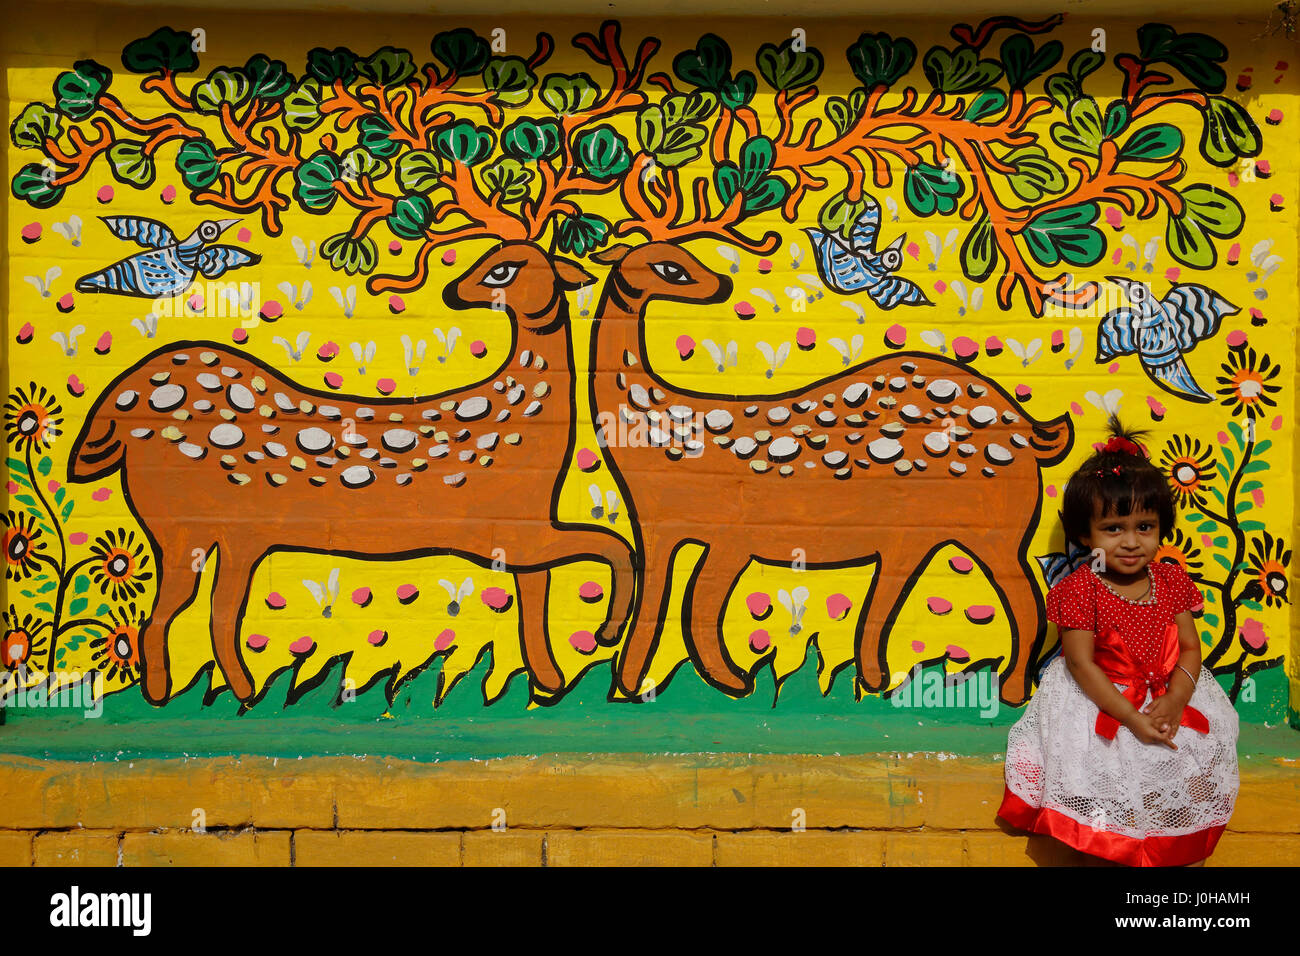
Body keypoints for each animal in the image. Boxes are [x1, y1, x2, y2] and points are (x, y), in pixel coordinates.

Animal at [68, 243, 631, 707]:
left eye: (504, 267)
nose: (451, 291)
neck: (528, 424)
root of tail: (118, 405)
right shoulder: (506, 531)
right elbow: (612, 545)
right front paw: (604, 633)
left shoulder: (526, 528)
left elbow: (542, 596)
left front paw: (551, 680)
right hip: (182, 526)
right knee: (172, 615)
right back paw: (182, 695)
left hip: (232, 537)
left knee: (213, 613)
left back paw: (235, 693)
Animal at [595, 240, 1071, 702]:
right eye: (671, 267)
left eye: (682, 263)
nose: (723, 285)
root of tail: (1030, 427)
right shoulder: (662, 528)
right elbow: (672, 603)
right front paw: (639, 685)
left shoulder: (725, 535)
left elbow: (696, 605)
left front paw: (717, 682)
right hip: (929, 535)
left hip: (995, 529)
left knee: (1026, 602)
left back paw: (1006, 691)